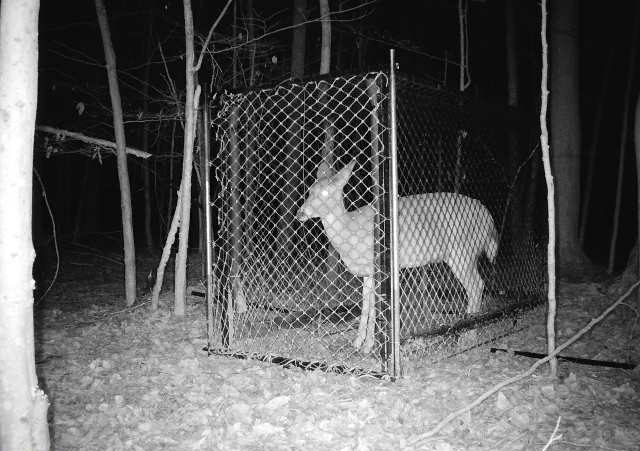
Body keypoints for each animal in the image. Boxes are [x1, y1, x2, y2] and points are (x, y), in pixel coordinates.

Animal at [296, 161, 500, 354]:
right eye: (309, 190)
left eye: (325, 192)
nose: (300, 214)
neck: (350, 230)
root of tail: (489, 219)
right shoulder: (366, 271)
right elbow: (365, 304)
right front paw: (357, 342)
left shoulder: (377, 265)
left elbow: (374, 305)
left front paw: (368, 346)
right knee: (476, 285)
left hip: (462, 250)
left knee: (476, 285)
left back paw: (468, 336)